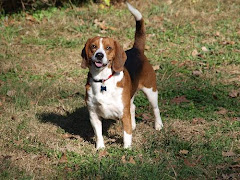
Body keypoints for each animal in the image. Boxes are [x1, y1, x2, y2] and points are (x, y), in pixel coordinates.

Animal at [81, 2, 163, 149]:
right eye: (93, 46)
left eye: (108, 48)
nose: (99, 55)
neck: (103, 80)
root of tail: (136, 49)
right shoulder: (94, 115)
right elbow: (98, 134)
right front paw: (100, 148)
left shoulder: (124, 113)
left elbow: (127, 134)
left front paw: (127, 149)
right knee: (133, 107)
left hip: (151, 91)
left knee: (155, 109)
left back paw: (158, 125)